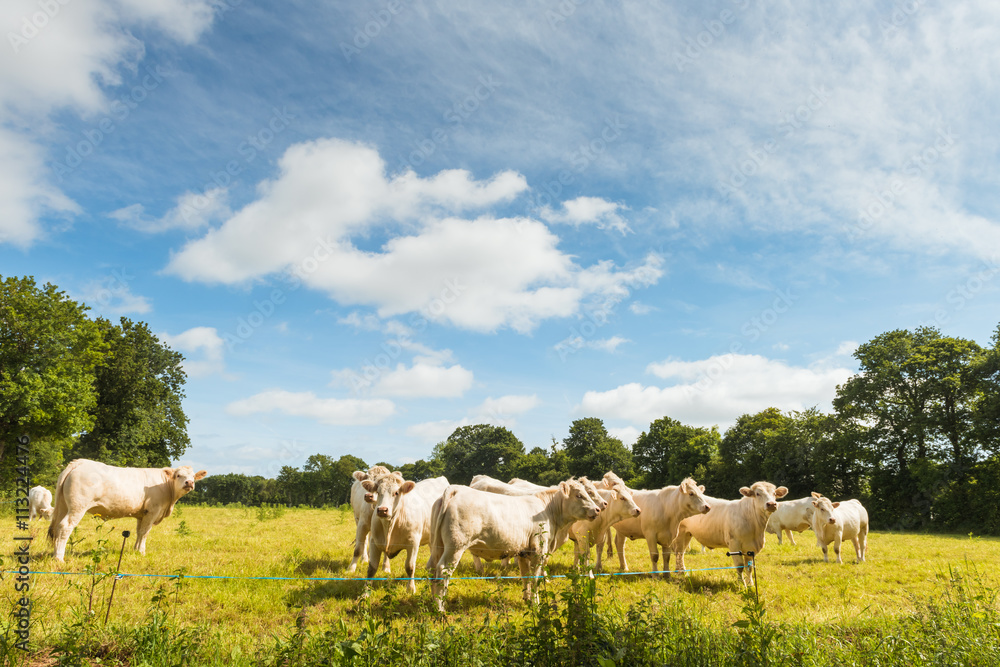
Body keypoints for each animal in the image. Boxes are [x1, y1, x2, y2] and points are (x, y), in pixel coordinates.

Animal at [49, 460, 207, 564]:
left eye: (193, 476)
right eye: (179, 475)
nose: (189, 483)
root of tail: (80, 462)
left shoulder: (142, 514)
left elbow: (139, 532)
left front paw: (135, 550)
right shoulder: (153, 510)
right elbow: (145, 532)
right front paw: (142, 552)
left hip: (63, 506)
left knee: (57, 527)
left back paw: (54, 554)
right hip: (78, 506)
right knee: (65, 526)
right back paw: (59, 558)